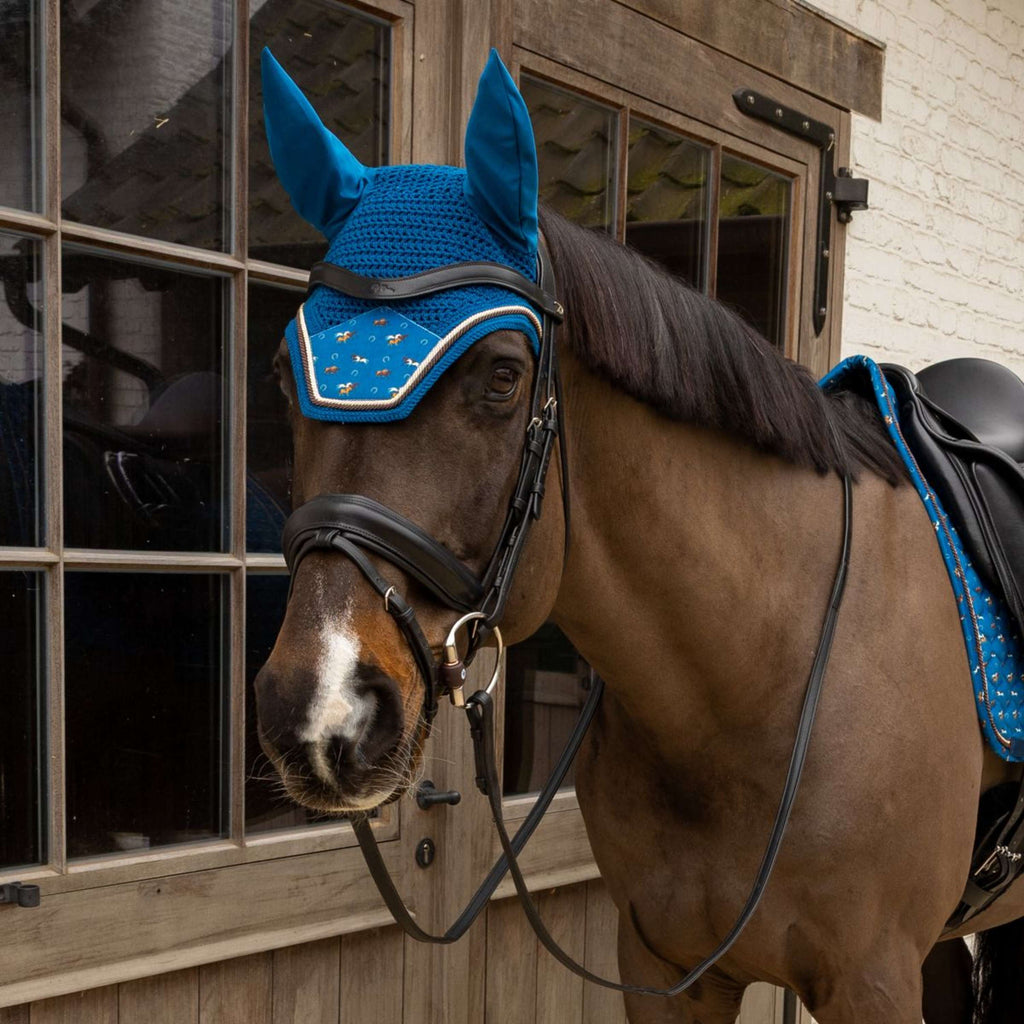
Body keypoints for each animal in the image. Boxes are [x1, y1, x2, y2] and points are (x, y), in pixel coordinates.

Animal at [252, 49, 1024, 1022]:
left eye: (502, 375)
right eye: (285, 373)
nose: (320, 710)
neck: (756, 678)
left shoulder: (871, 985)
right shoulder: (662, 967)